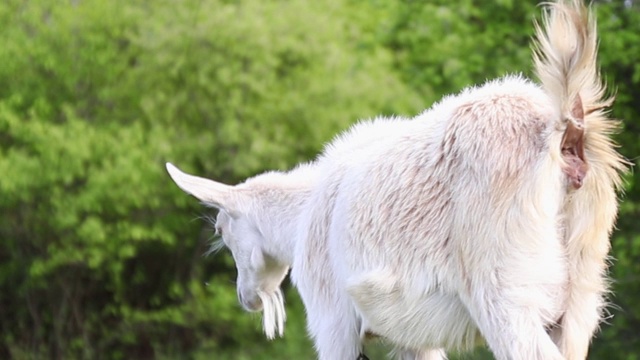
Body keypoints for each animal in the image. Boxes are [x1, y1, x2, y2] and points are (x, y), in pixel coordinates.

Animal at [165, 1, 624, 358]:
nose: (246, 299)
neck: (303, 213)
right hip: (581, 294)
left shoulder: (333, 320)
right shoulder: (412, 338)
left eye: (221, 230)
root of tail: (559, 130)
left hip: (506, 293)